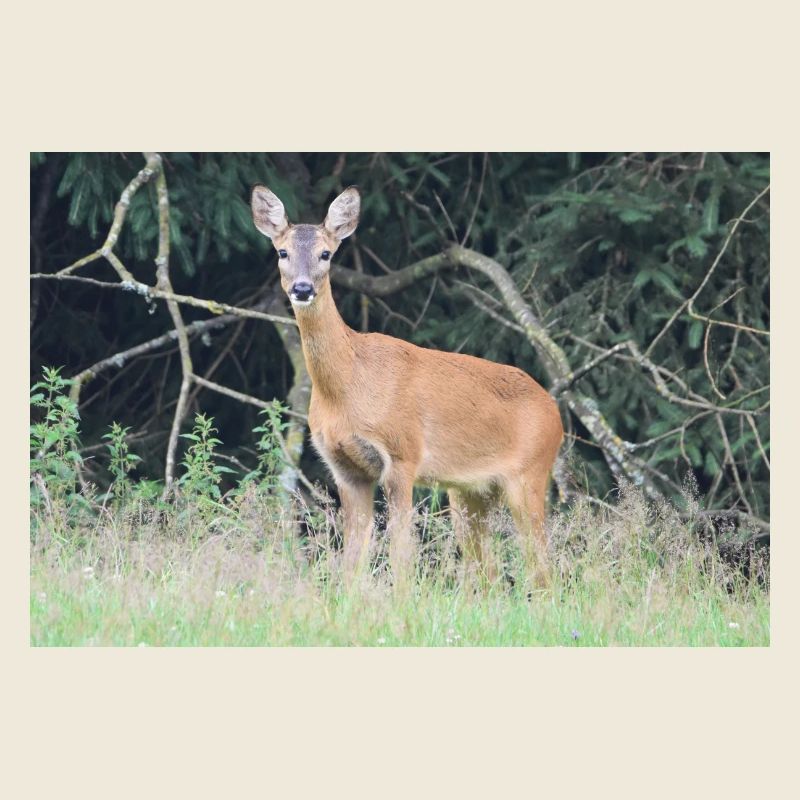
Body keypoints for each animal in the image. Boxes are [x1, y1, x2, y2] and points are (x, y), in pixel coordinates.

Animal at [251, 185, 563, 588]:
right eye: (282, 252)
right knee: (488, 571)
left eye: (326, 253)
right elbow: (352, 559)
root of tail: (555, 412)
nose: (302, 289)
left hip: (529, 474)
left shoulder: (402, 454)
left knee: (541, 568)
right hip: (468, 492)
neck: (348, 390)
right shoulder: (345, 469)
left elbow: (402, 555)